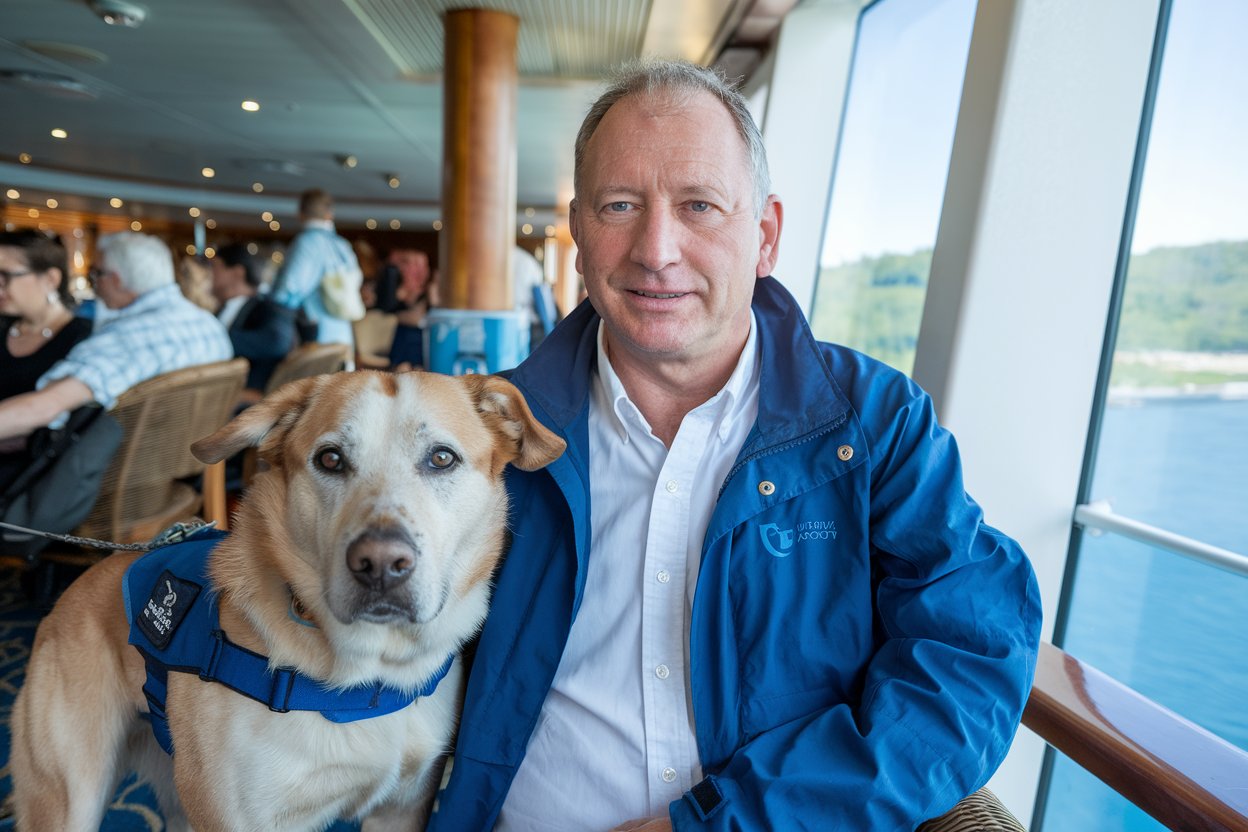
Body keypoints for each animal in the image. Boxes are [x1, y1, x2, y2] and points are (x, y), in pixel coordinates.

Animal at [8, 371, 566, 832]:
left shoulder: (403, 809)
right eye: (330, 459)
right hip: (70, 799)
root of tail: (72, 592)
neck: (369, 678)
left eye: (442, 458)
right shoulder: (237, 820)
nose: (380, 564)